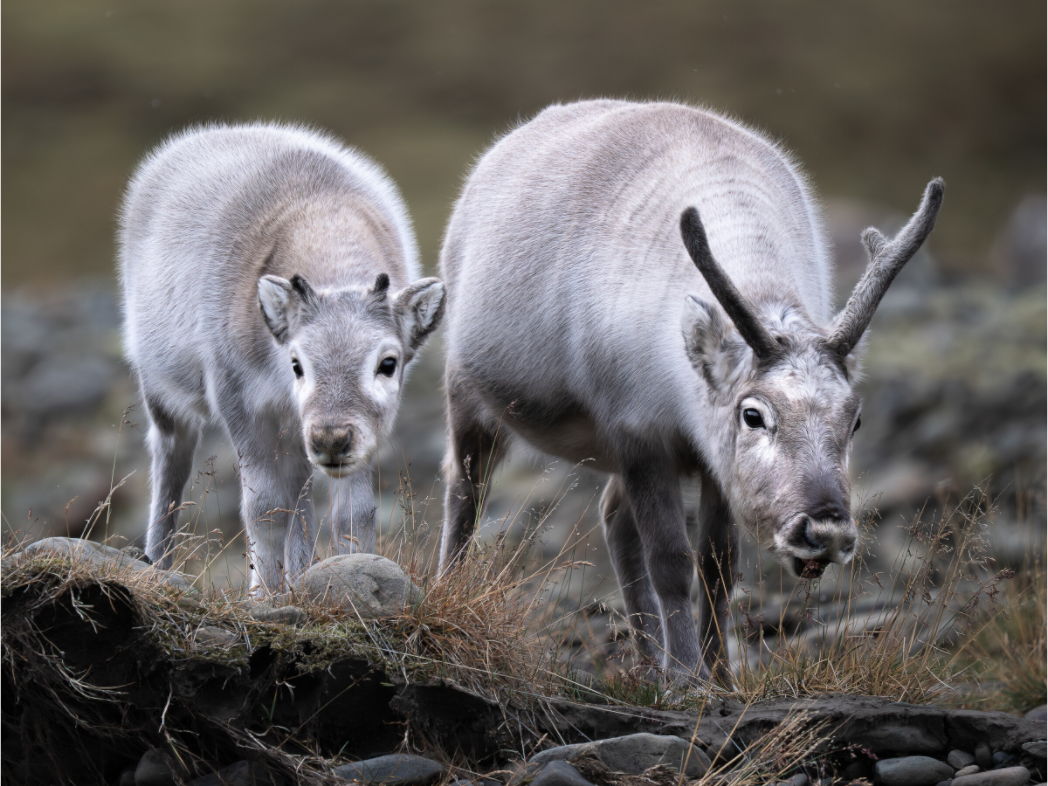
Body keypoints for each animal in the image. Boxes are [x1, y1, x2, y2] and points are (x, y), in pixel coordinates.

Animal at [119, 122, 445, 592]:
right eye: (297, 364)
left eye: (388, 363)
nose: (331, 438)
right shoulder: (241, 406)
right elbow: (264, 511)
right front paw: (265, 595)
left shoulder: (355, 435)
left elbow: (354, 513)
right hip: (164, 395)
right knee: (170, 463)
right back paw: (158, 561)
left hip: (294, 436)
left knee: (301, 496)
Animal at [436, 99, 942, 681]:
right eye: (753, 414)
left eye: (855, 418)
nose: (826, 530)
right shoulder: (639, 433)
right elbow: (672, 560)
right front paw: (684, 678)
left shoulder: (709, 456)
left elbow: (718, 564)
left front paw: (718, 675)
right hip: (469, 394)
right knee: (465, 490)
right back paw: (448, 590)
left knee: (613, 517)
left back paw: (647, 660)